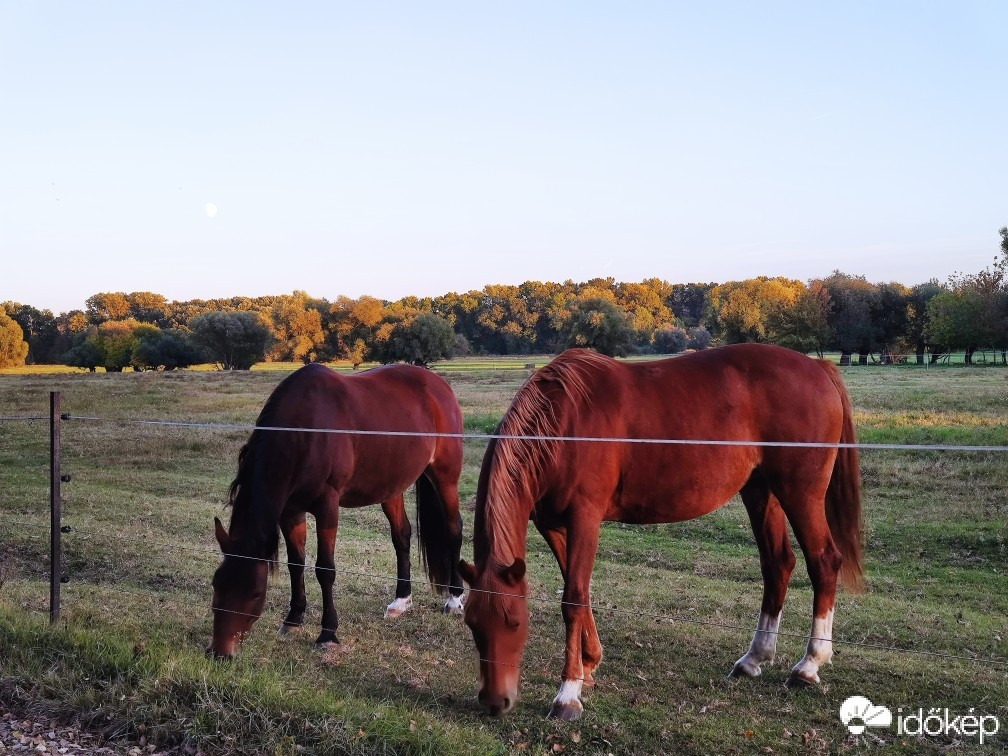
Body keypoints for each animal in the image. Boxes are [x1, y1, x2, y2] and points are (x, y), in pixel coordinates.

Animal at [211, 364, 467, 661]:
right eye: (217, 584)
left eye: (254, 592)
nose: (219, 652)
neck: (304, 429)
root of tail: (439, 385)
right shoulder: (291, 510)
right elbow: (296, 563)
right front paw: (293, 619)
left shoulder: (327, 507)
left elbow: (325, 569)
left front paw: (328, 633)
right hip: (391, 487)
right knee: (402, 536)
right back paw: (401, 601)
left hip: (445, 477)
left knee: (454, 530)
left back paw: (454, 599)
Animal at [461, 346, 862, 717]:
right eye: (471, 623)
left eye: (514, 622)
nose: (495, 702)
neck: (564, 423)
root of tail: (819, 368)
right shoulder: (553, 526)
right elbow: (580, 593)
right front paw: (589, 664)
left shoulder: (584, 518)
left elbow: (573, 599)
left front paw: (568, 693)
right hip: (761, 491)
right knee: (778, 564)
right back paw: (753, 659)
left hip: (800, 493)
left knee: (824, 562)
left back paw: (809, 665)